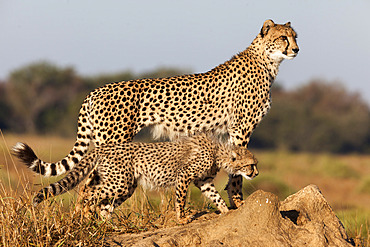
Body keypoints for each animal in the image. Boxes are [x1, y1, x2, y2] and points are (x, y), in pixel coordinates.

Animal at [13, 19, 300, 208]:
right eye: (283, 38)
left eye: (296, 36)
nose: (296, 49)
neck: (267, 60)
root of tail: (95, 90)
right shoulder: (241, 127)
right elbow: (237, 169)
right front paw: (239, 202)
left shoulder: (232, 130)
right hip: (114, 142)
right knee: (88, 186)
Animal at [14, 135, 258, 222]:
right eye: (251, 164)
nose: (256, 173)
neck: (219, 152)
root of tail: (103, 147)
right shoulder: (184, 177)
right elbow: (181, 200)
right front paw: (181, 219)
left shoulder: (203, 181)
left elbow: (215, 196)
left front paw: (226, 211)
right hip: (119, 183)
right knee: (90, 193)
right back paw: (86, 213)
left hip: (125, 186)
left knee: (105, 205)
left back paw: (108, 225)